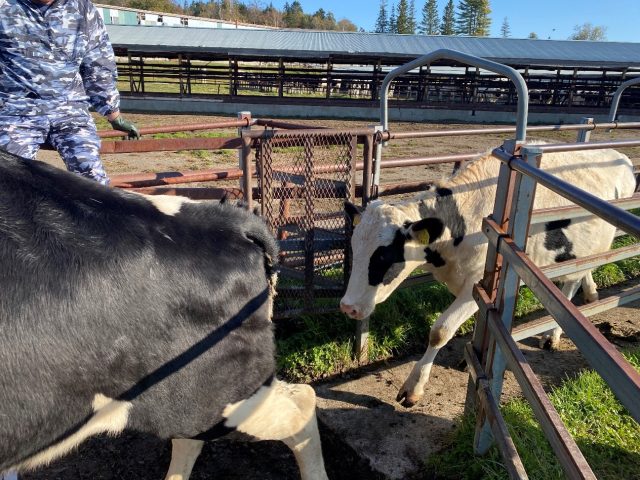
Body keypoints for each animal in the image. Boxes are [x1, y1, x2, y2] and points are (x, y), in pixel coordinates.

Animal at [340, 143, 636, 408]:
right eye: (354, 247)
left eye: (384, 256)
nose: (348, 307)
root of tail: (619, 156)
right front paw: (471, 356)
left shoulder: (478, 281)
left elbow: (440, 331)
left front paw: (413, 388)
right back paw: (591, 292)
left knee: (571, 284)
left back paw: (553, 335)